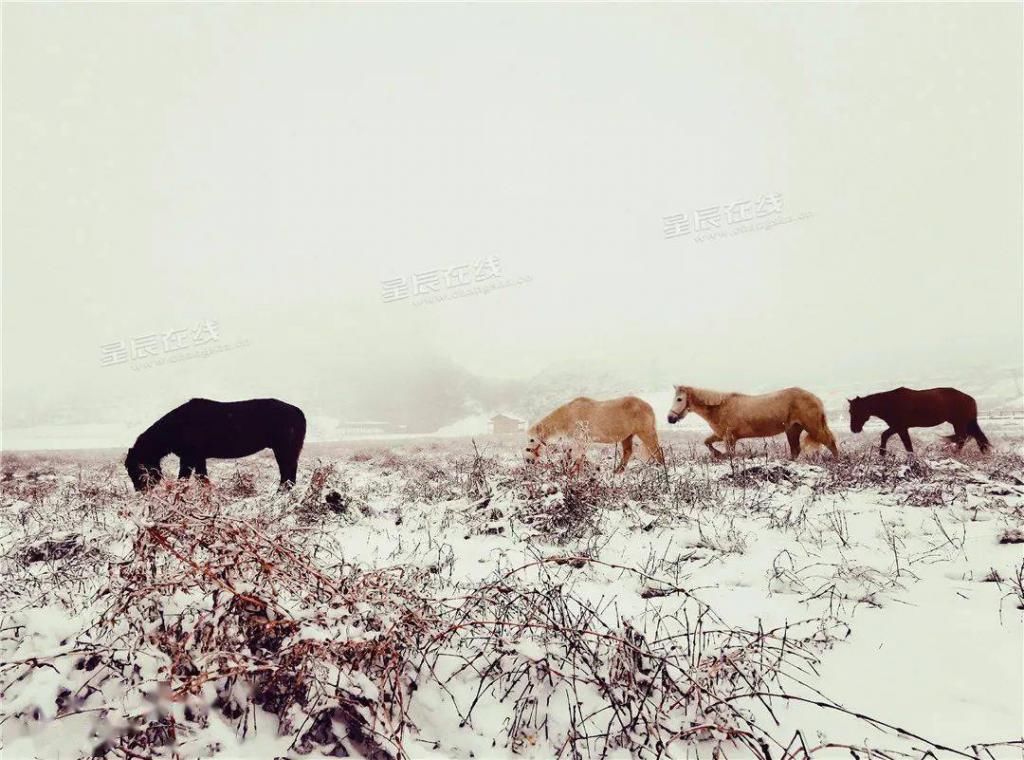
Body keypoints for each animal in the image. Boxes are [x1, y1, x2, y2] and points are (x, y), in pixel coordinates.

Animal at [125, 399, 305, 493]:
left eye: (136, 467)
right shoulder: (198, 458)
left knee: (287, 472)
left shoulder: (188, 458)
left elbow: (183, 479)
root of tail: (298, 411)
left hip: (284, 450)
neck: (178, 426)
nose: (140, 490)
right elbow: (202, 479)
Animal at [524, 401, 667, 473]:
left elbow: (578, 456)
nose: (528, 460)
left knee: (655, 448)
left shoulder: (580, 435)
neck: (567, 416)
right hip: (627, 433)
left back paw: (661, 469)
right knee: (628, 450)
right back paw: (617, 470)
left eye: (531, 440)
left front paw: (576, 472)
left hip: (645, 429)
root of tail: (650, 407)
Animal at [667, 383, 835, 460]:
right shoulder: (721, 436)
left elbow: (730, 454)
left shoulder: (729, 438)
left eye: (679, 399)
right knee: (796, 450)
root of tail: (816, 399)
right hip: (793, 430)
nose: (670, 418)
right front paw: (717, 454)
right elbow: (707, 442)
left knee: (830, 442)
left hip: (813, 427)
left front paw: (720, 455)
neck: (719, 407)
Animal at [847, 389, 991, 454]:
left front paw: (882, 453)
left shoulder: (899, 427)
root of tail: (971, 399)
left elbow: (891, 438)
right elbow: (905, 444)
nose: (854, 429)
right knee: (975, 437)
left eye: (856, 411)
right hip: (964, 423)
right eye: (850, 411)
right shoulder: (899, 428)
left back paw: (955, 454)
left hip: (959, 423)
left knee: (962, 438)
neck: (890, 403)